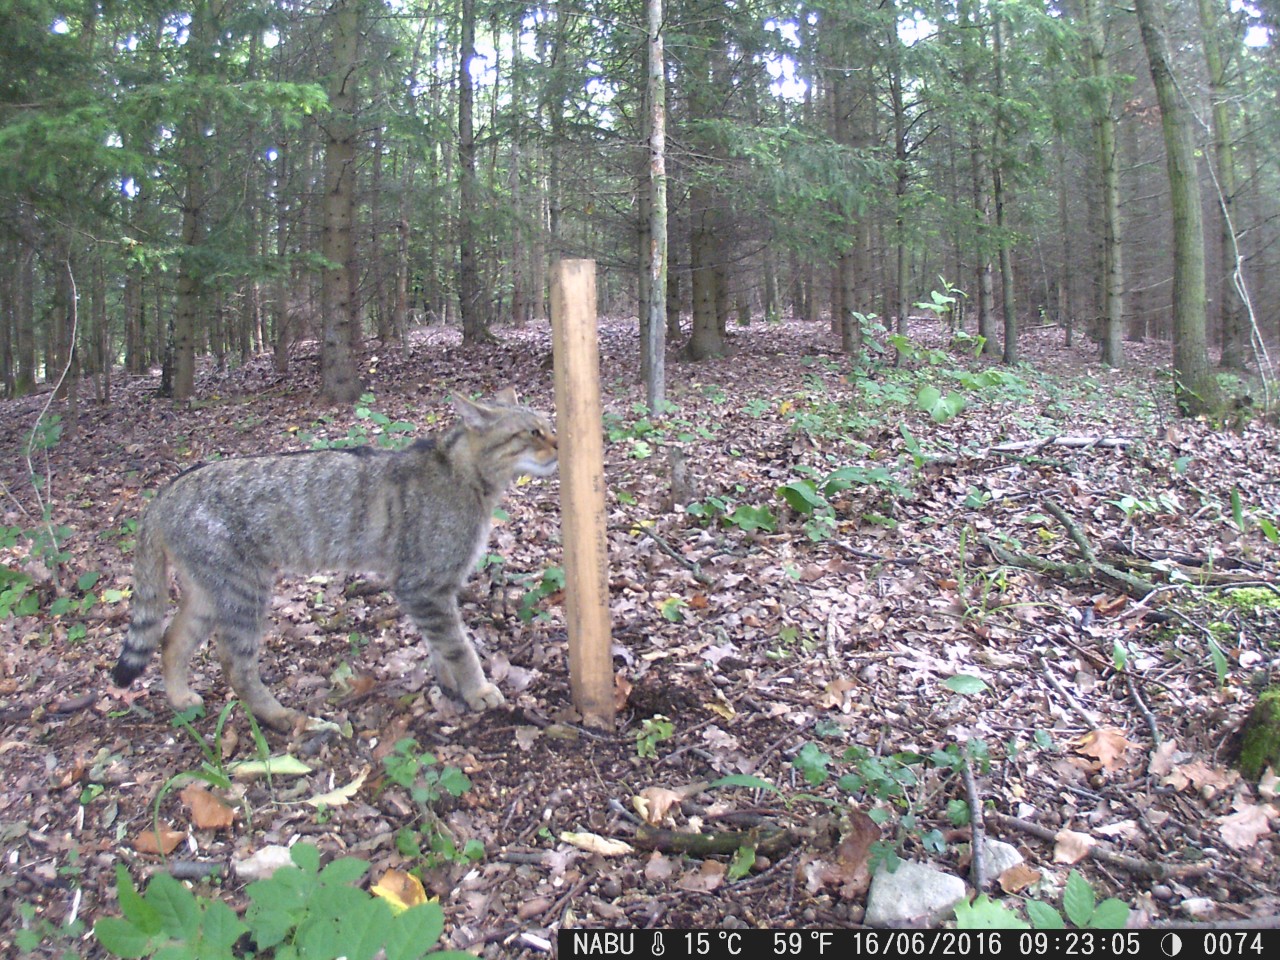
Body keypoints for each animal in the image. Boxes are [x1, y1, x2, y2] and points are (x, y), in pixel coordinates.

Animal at [108, 386, 550, 732]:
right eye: (532, 432)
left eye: (547, 426)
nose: (559, 442)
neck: (465, 476)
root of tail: (163, 495)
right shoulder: (422, 585)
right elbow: (459, 646)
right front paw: (478, 689)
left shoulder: (432, 589)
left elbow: (440, 643)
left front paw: (452, 687)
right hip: (243, 589)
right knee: (235, 665)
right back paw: (281, 717)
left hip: (210, 592)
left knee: (170, 640)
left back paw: (181, 698)